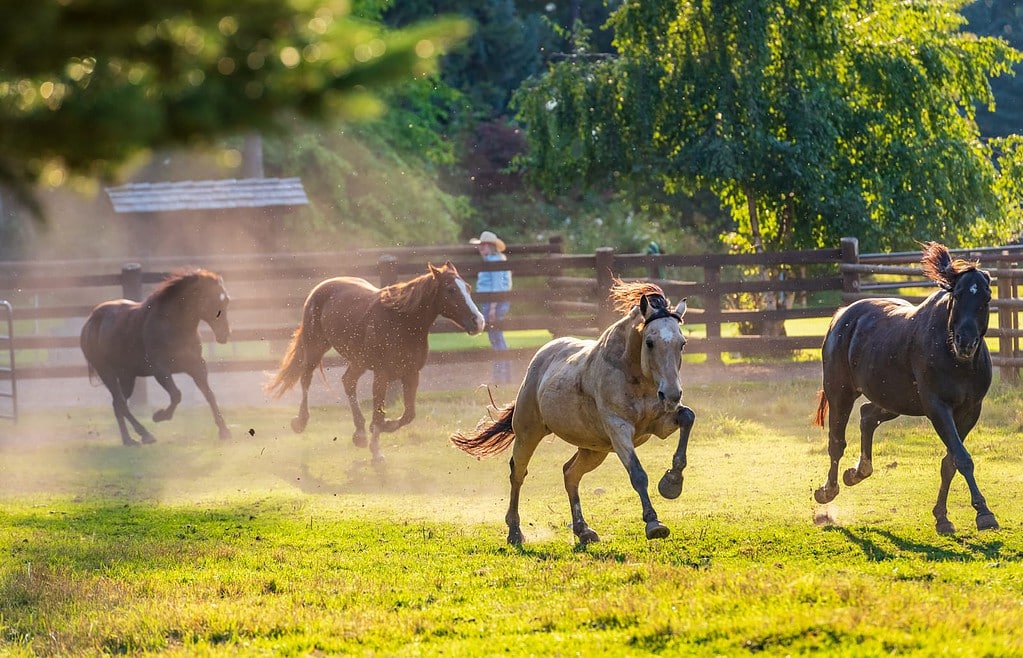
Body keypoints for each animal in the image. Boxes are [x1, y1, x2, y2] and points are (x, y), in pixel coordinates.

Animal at [79, 268, 232, 448]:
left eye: (226, 300)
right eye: (210, 299)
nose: (225, 335)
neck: (174, 324)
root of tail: (91, 321)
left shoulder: (196, 366)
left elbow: (209, 394)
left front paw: (224, 431)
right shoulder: (160, 370)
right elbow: (176, 395)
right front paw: (159, 416)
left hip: (127, 376)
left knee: (117, 404)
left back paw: (129, 440)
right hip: (106, 373)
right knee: (121, 404)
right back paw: (145, 435)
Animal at [268, 259, 482, 460]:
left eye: (468, 288)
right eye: (451, 289)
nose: (478, 321)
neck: (401, 322)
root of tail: (321, 287)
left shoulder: (411, 374)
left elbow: (408, 414)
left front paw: (381, 428)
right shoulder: (382, 375)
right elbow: (379, 413)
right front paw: (377, 452)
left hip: (358, 361)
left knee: (348, 381)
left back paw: (360, 434)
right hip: (315, 347)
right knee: (306, 379)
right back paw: (300, 422)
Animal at [450, 280, 695, 544]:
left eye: (682, 343)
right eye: (649, 342)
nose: (671, 394)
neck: (634, 374)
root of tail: (542, 355)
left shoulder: (660, 423)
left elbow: (687, 417)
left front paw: (672, 482)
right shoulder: (618, 429)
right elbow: (637, 474)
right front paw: (653, 523)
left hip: (594, 449)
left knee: (570, 474)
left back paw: (582, 529)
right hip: (529, 434)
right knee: (518, 473)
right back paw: (515, 532)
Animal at [814, 241, 998, 536]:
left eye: (987, 298)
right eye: (957, 295)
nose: (966, 342)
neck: (954, 358)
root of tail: (842, 316)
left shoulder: (970, 412)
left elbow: (950, 463)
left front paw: (942, 517)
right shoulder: (938, 409)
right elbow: (962, 458)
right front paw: (984, 513)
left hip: (894, 401)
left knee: (867, 416)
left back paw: (857, 472)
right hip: (840, 392)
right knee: (837, 442)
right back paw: (827, 491)